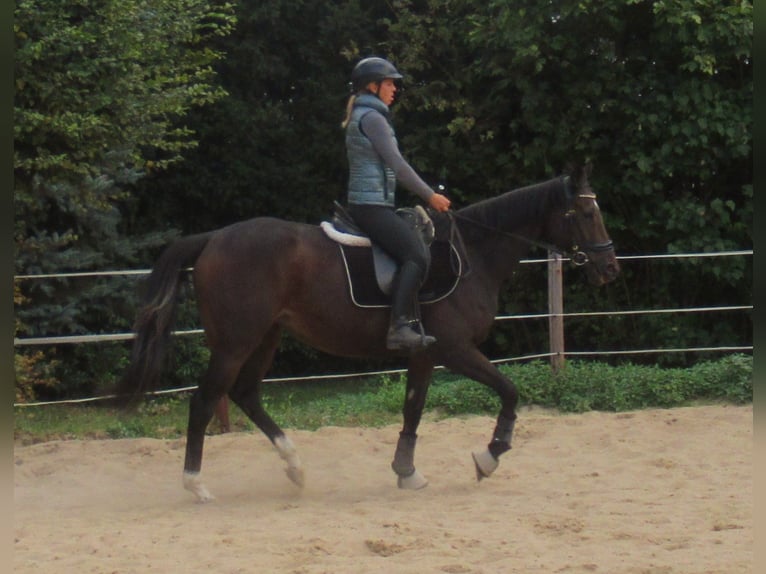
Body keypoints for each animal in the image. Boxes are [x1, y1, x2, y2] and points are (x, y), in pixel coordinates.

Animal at [117, 164, 620, 502]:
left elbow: (413, 409)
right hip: (235, 342)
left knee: (245, 395)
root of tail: (214, 238)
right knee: (205, 402)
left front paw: (406, 471)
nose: (610, 267)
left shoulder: (424, 353)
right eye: (583, 212)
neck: (473, 253)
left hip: (265, 337)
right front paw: (489, 456)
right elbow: (509, 391)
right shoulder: (456, 350)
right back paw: (196, 484)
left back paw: (295, 467)